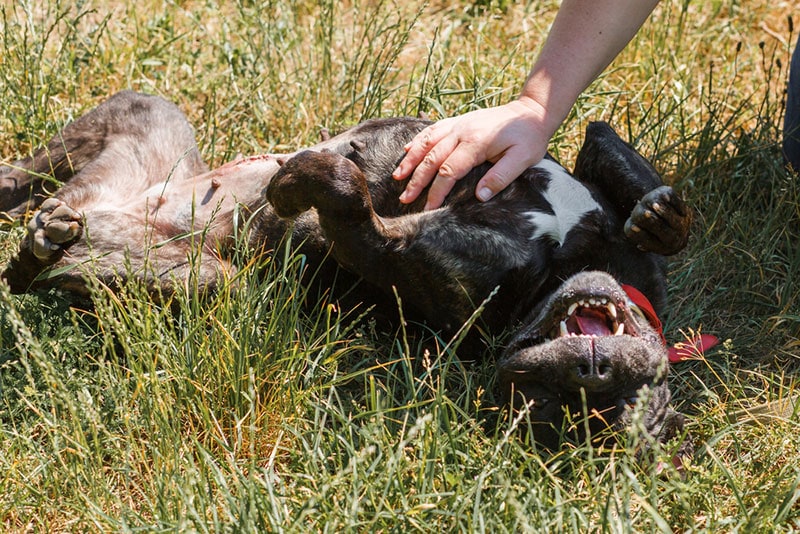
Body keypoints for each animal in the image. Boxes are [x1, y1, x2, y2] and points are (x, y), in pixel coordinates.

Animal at [0, 91, 692, 452]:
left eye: (552, 409)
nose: (592, 371)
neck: (560, 267)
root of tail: (104, 209)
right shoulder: (606, 202)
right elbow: (614, 155)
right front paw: (660, 216)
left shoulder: (387, 249)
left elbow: (344, 190)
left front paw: (293, 185)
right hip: (143, 119)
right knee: (27, 179)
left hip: (200, 277)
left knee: (26, 276)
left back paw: (40, 248)